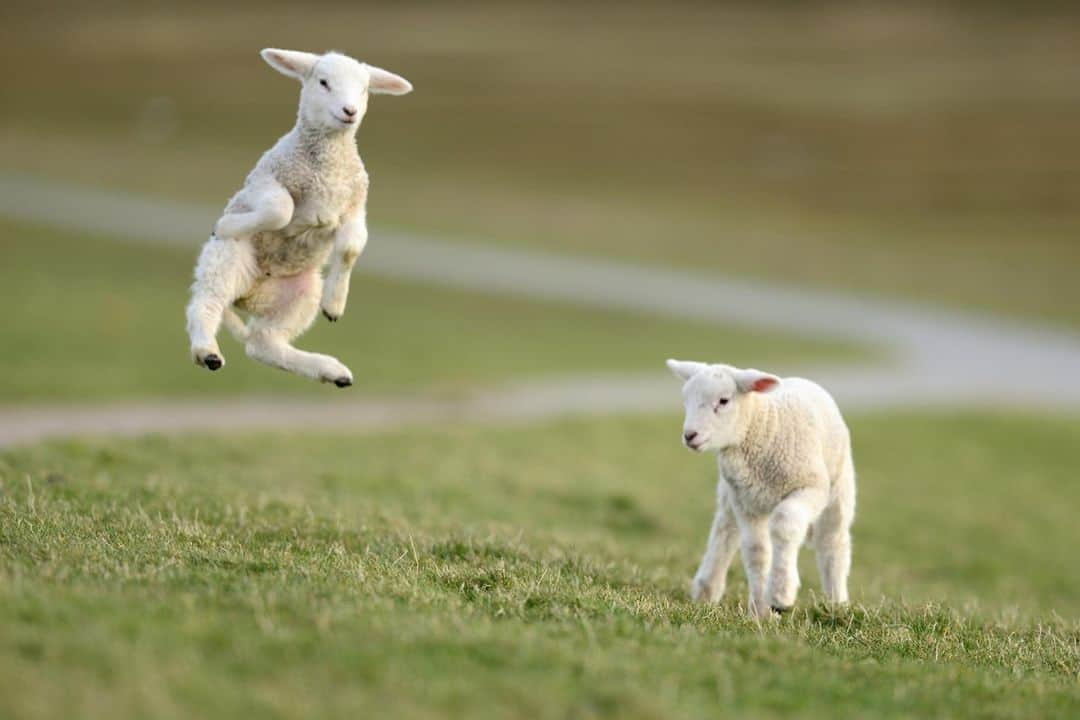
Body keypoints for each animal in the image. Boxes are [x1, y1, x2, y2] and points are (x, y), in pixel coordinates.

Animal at [183, 47, 410, 386]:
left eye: (364, 88)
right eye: (323, 82)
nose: (350, 111)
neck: (329, 162)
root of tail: (250, 295)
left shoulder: (356, 205)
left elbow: (352, 246)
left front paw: (334, 304)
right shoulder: (264, 180)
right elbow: (281, 210)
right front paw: (226, 223)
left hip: (301, 294)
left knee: (263, 344)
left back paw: (332, 371)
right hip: (226, 258)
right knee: (205, 304)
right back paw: (207, 353)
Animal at [660, 360, 855, 621]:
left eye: (724, 400)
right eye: (686, 400)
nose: (690, 435)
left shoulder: (810, 487)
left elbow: (784, 525)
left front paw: (781, 593)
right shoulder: (746, 503)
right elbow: (756, 551)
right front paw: (761, 611)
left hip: (838, 489)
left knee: (832, 543)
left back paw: (837, 604)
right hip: (729, 496)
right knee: (724, 532)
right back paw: (706, 589)